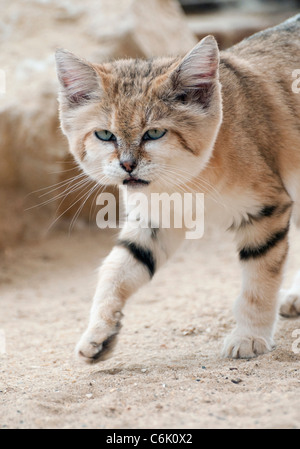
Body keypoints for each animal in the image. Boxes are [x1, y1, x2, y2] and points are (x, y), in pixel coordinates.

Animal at [55, 15, 300, 362]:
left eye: (154, 133)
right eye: (104, 135)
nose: (127, 165)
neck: (185, 184)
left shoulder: (266, 210)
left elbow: (259, 281)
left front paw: (249, 336)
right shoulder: (154, 220)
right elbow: (117, 268)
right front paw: (99, 332)